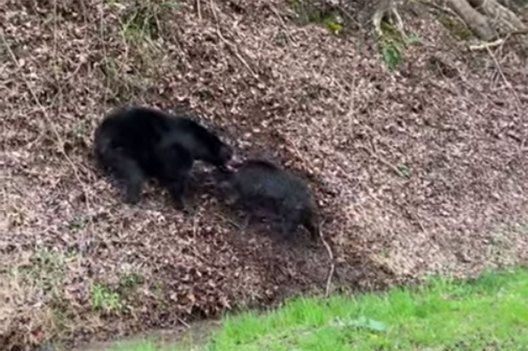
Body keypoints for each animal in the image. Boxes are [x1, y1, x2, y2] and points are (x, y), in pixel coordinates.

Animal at [94, 105, 233, 209]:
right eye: (228, 156)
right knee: (133, 171)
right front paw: (184, 203)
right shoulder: (175, 153)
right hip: (121, 147)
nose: (231, 154)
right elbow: (177, 177)